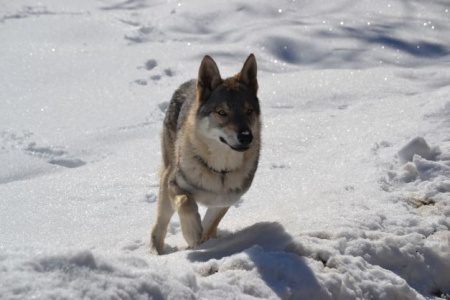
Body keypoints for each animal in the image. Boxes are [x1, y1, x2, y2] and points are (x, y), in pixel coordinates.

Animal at [151, 53, 262, 253]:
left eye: (249, 111)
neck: (220, 170)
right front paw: (192, 233)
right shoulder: (175, 185)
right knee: (158, 227)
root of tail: (187, 83)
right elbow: (186, 202)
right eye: (222, 112)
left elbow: (210, 225)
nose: (246, 136)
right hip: (166, 181)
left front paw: (201, 243)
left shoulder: (224, 200)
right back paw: (158, 252)